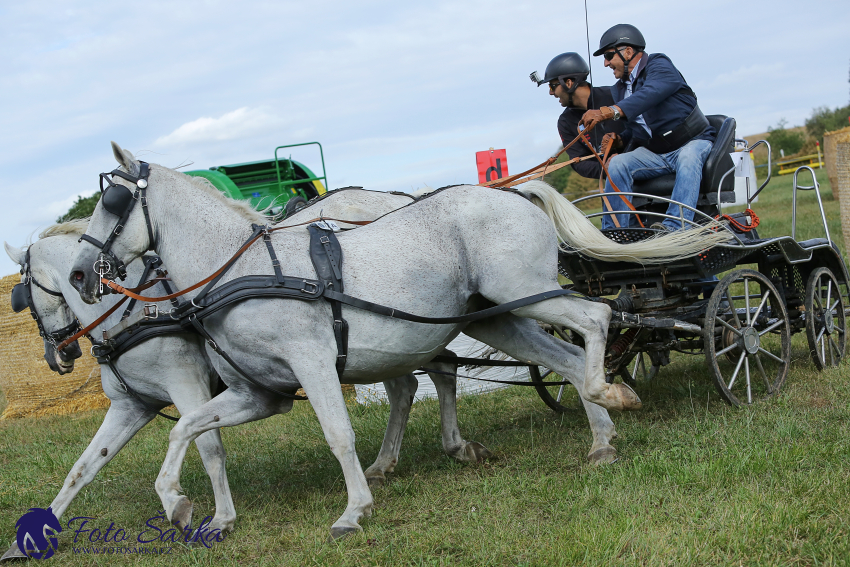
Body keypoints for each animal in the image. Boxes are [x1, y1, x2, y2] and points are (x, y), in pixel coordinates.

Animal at [71, 144, 724, 540]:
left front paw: (353, 510)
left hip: (526, 292)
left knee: (594, 319)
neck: (242, 270)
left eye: (113, 200)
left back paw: (611, 394)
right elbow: (187, 427)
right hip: (496, 319)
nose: (80, 275)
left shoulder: (313, 363)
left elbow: (338, 435)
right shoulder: (258, 394)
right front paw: (179, 504)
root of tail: (513, 193)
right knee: (561, 356)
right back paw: (602, 441)